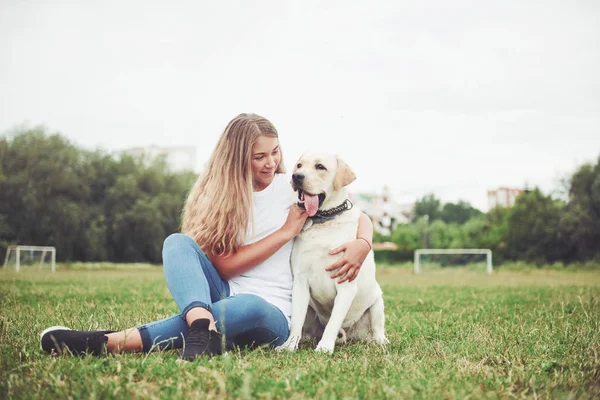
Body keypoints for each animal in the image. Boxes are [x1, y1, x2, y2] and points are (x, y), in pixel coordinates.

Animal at [274, 152, 386, 352]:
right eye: (299, 165)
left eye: (320, 167)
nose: (297, 176)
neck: (322, 221)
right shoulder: (300, 282)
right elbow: (296, 321)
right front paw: (289, 346)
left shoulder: (346, 284)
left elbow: (334, 321)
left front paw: (325, 347)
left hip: (377, 301)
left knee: (377, 326)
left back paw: (379, 341)